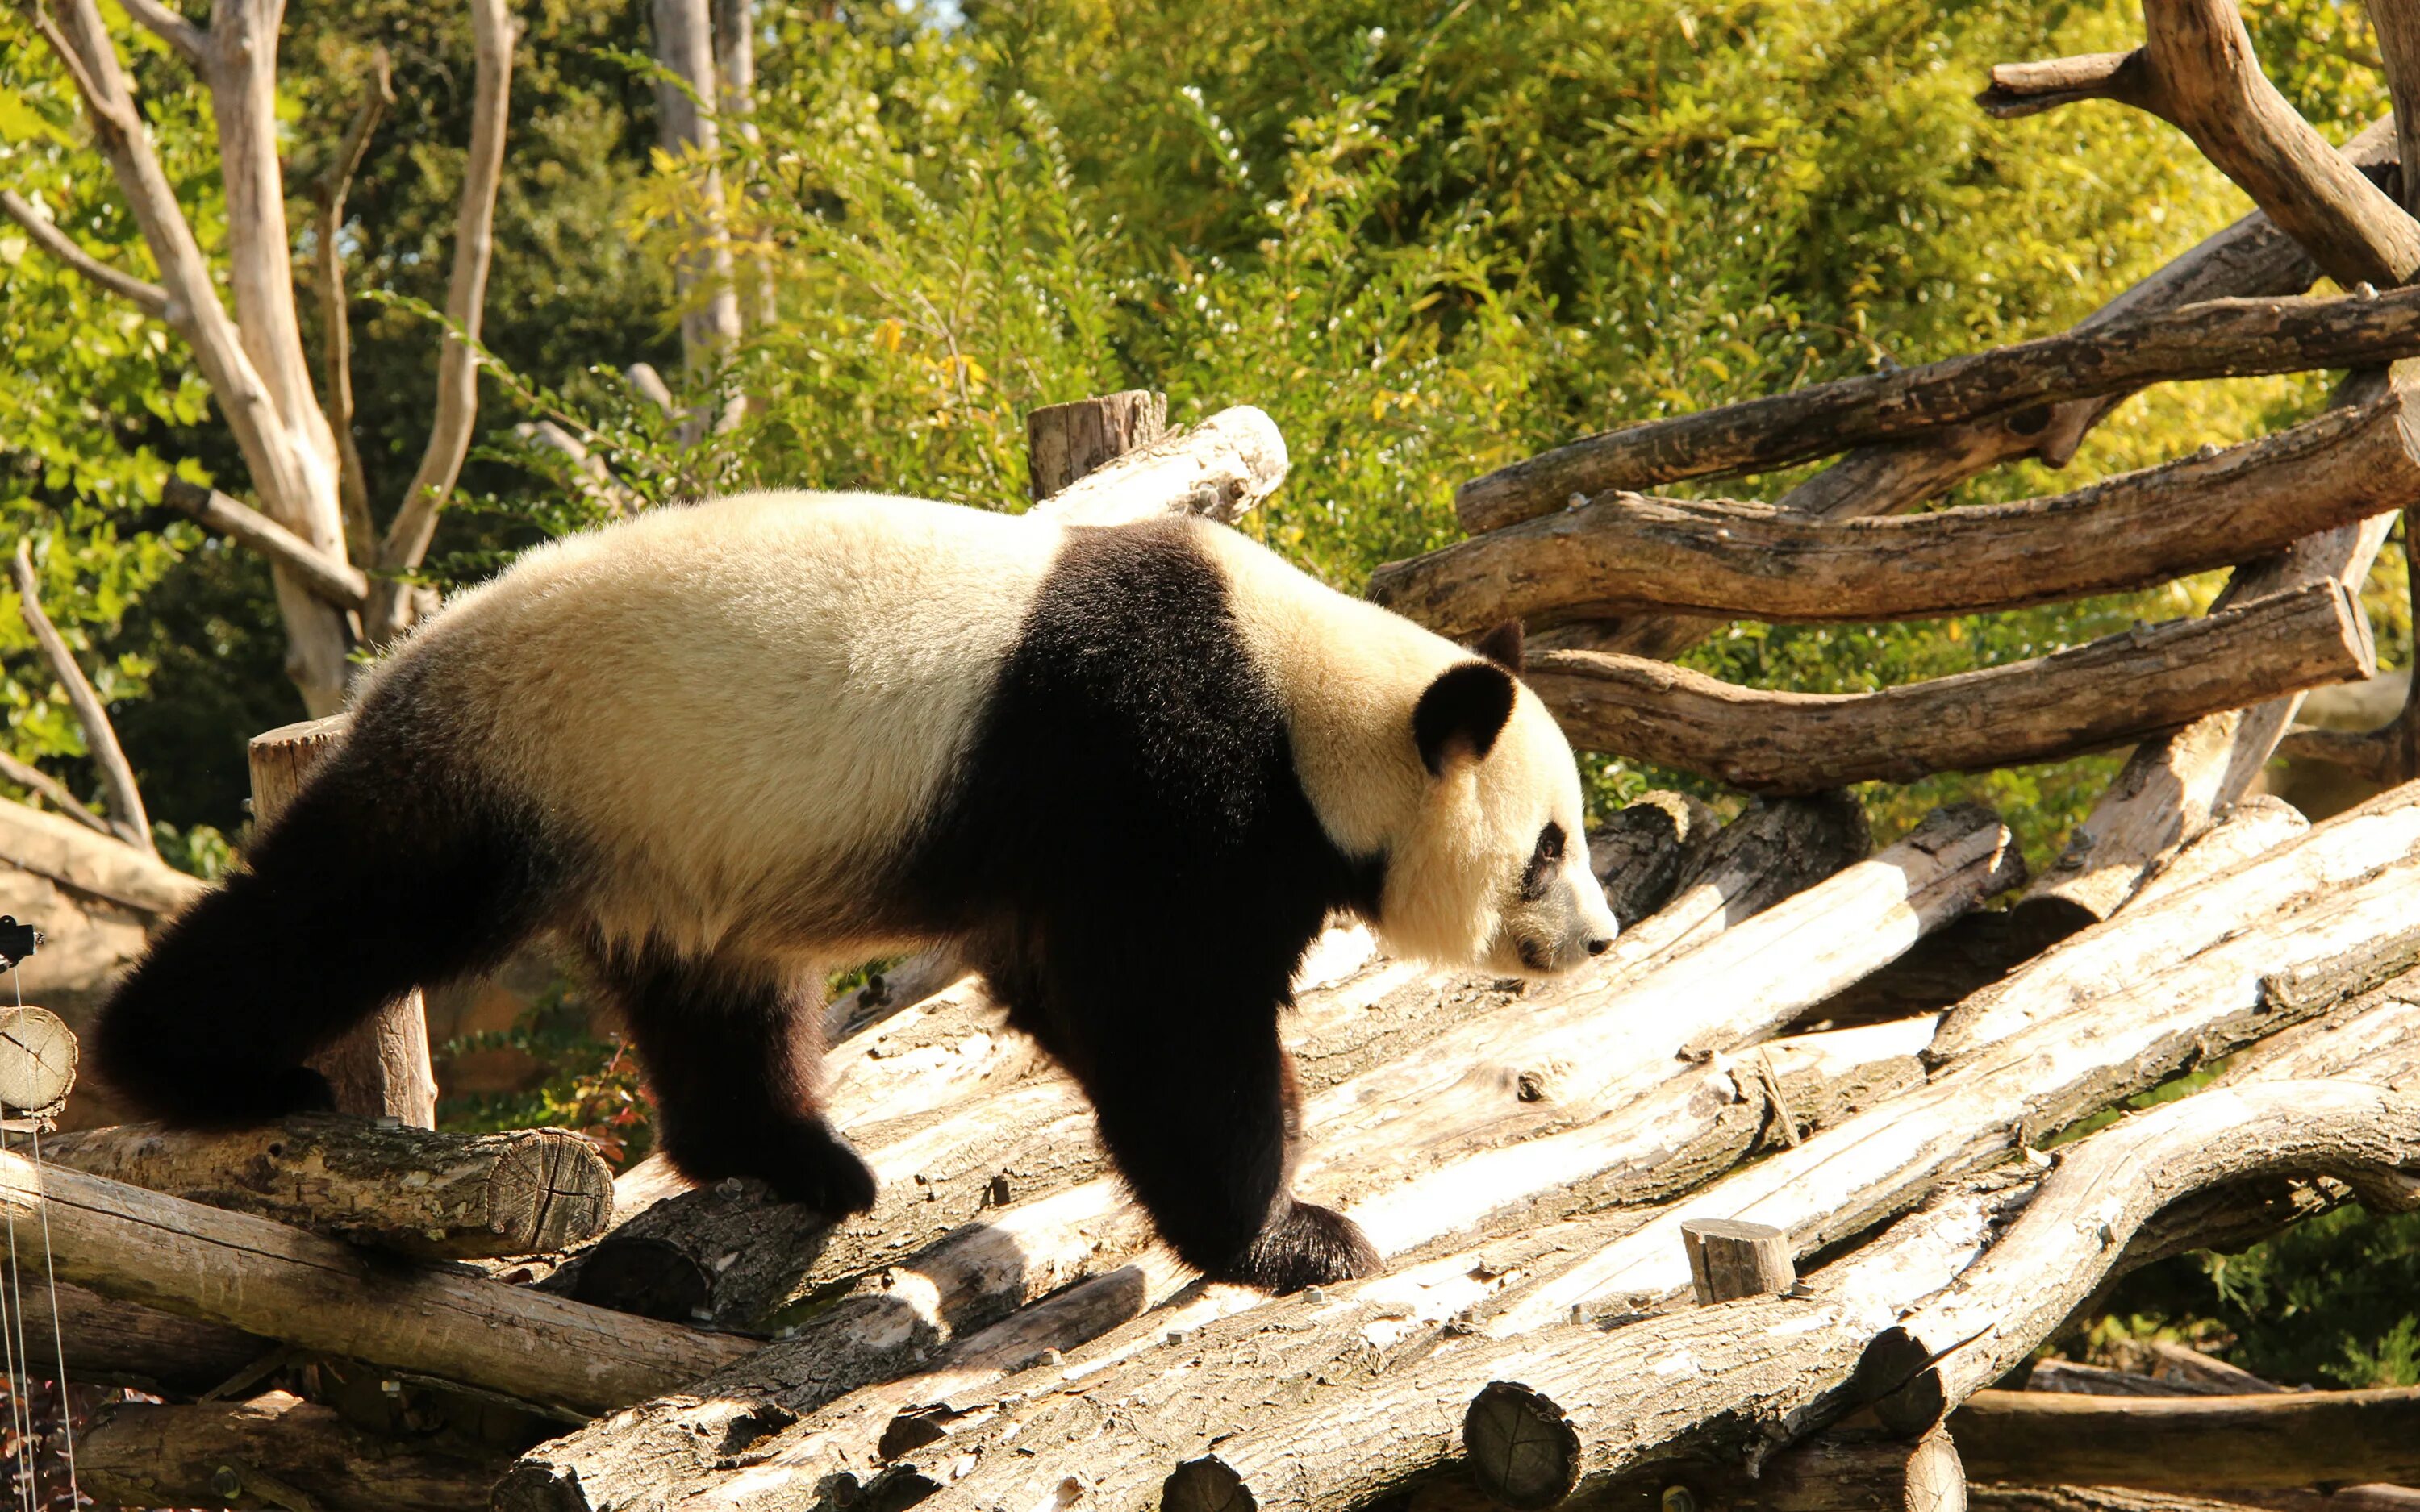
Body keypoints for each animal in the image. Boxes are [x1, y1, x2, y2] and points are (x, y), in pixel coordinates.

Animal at [94, 489, 1617, 1287]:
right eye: (1550, 844)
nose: (1597, 938)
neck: (1310, 695)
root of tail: (398, 658)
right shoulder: (1156, 763)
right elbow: (1169, 1021)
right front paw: (1290, 1232)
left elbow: (1058, 988)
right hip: (533, 758)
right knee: (345, 907)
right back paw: (185, 1066)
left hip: (668, 830)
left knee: (719, 998)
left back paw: (797, 1157)